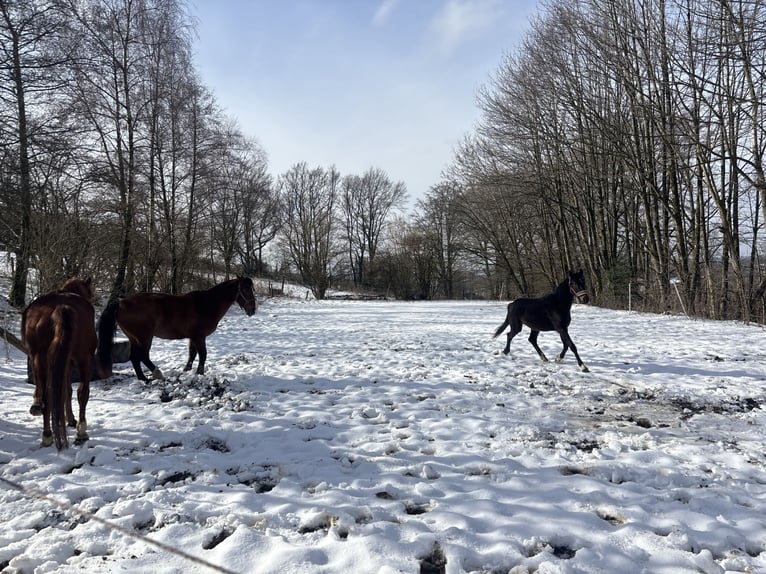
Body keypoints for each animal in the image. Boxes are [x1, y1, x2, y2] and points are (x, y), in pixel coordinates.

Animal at [21, 277, 106, 449]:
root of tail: (61, 308)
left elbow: (63, 390)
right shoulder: (70, 361)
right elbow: (68, 390)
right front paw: (72, 420)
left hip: (41, 357)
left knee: (48, 394)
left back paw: (47, 435)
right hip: (84, 357)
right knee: (82, 392)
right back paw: (80, 432)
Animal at [97, 276, 257, 381]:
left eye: (252, 289)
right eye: (245, 289)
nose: (253, 309)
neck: (205, 305)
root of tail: (121, 303)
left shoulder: (193, 337)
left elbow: (192, 354)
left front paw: (187, 370)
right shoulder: (199, 336)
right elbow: (203, 355)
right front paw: (200, 373)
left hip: (134, 338)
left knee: (135, 358)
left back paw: (143, 378)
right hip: (144, 337)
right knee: (142, 356)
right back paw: (157, 374)